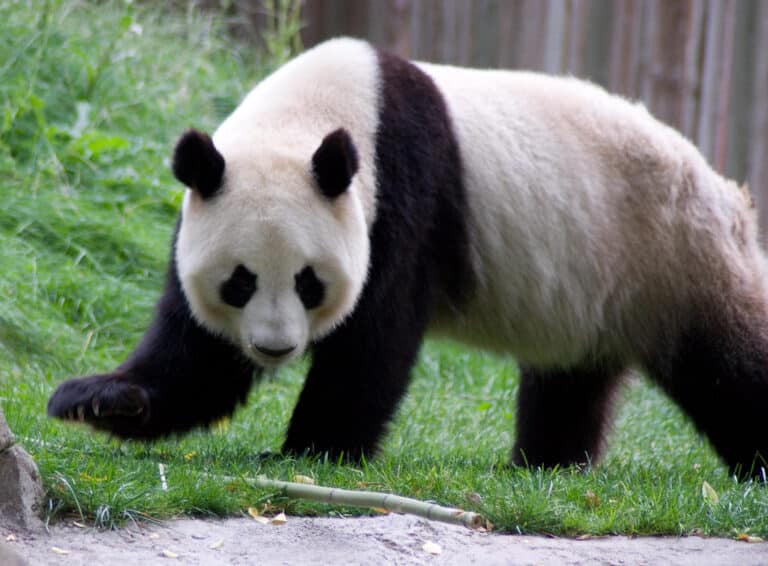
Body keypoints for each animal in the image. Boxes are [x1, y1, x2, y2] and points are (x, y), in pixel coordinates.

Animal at [48, 37, 768, 479]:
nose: (276, 349)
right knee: (571, 378)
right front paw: (98, 399)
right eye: (239, 282)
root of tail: (721, 185)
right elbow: (198, 357)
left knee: (728, 363)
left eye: (309, 283)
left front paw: (311, 451)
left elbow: (374, 337)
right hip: (596, 281)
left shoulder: (399, 197)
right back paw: (547, 464)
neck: (320, 111)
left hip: (672, 254)